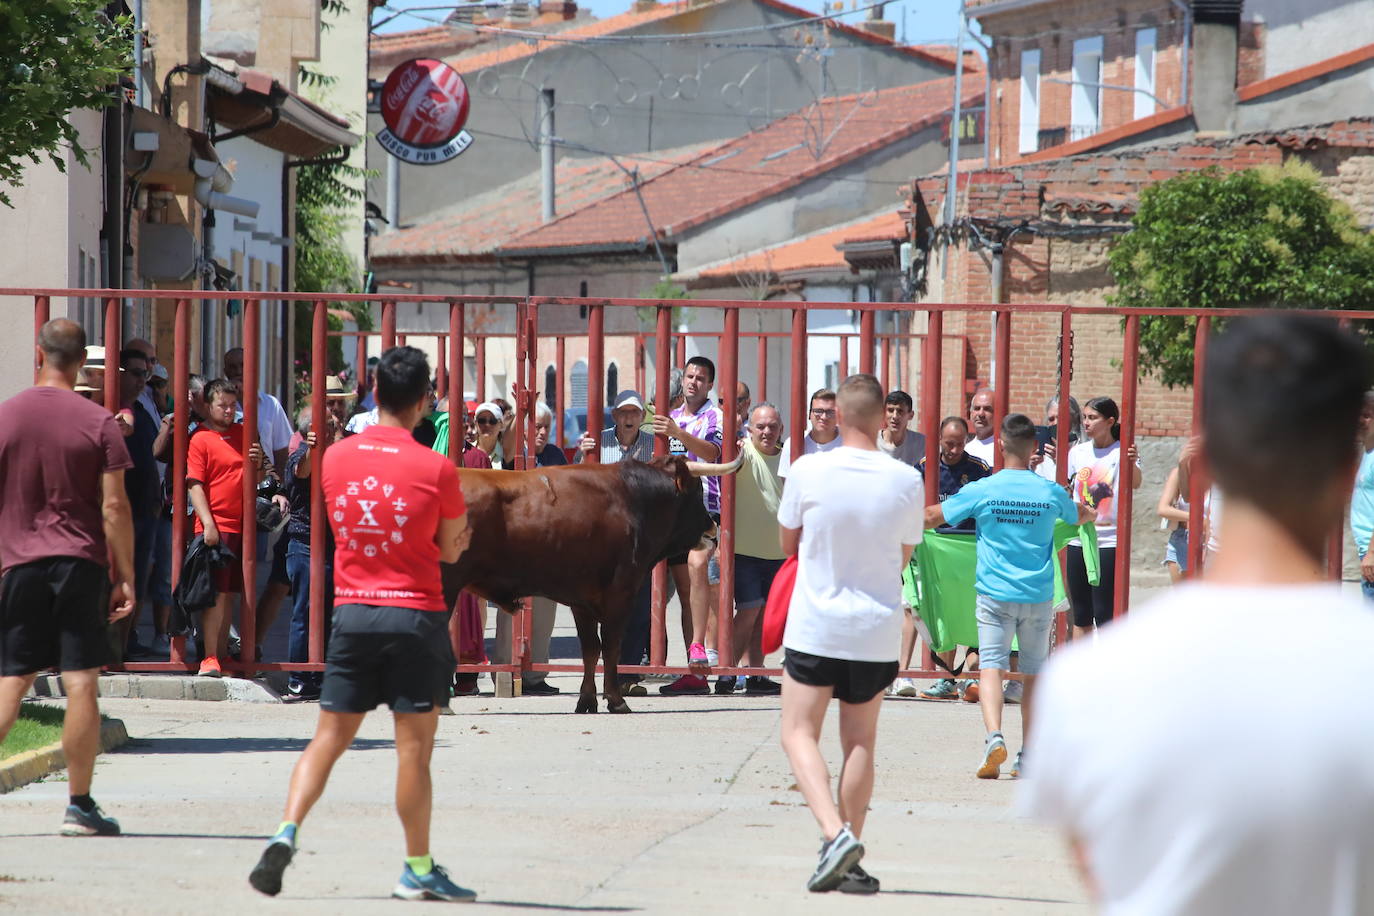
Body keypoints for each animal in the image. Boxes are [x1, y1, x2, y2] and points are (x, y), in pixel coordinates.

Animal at [439, 455, 741, 714]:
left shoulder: (581, 599)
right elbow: (611, 645)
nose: (712, 529)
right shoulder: (620, 593)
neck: (632, 500)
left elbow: (591, 648)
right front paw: (616, 699)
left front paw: (587, 699)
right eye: (696, 492)